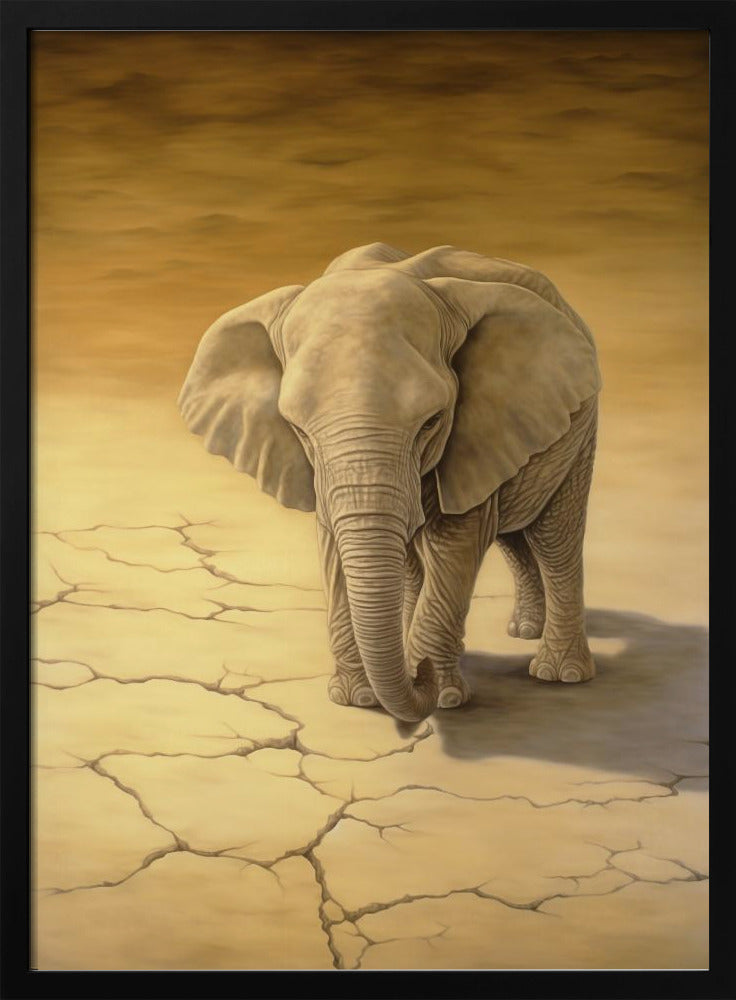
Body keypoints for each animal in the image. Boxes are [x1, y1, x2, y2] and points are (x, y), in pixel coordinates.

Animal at [179, 243, 601, 723]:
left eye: (432, 421)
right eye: (297, 429)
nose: (419, 673)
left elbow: (456, 545)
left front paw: (440, 694)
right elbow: (335, 546)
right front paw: (356, 699)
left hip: (579, 424)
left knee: (552, 536)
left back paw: (559, 673)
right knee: (505, 538)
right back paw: (521, 630)